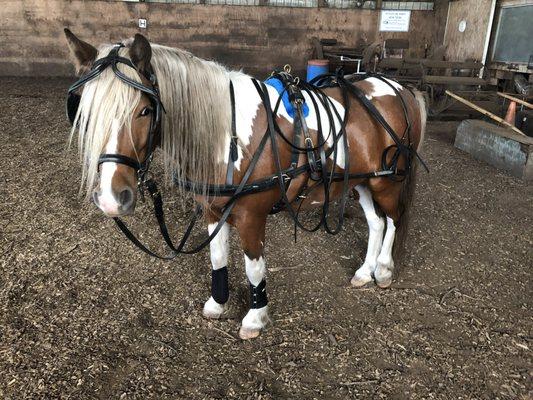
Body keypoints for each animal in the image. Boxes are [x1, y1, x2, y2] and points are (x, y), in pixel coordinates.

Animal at [65, 31, 424, 340]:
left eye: (144, 110)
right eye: (85, 110)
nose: (112, 198)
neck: (229, 135)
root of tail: (400, 87)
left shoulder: (252, 215)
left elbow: (254, 267)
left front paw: (254, 316)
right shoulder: (212, 209)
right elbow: (217, 256)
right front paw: (218, 302)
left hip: (388, 182)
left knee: (393, 220)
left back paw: (383, 269)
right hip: (363, 182)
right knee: (376, 223)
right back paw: (365, 271)